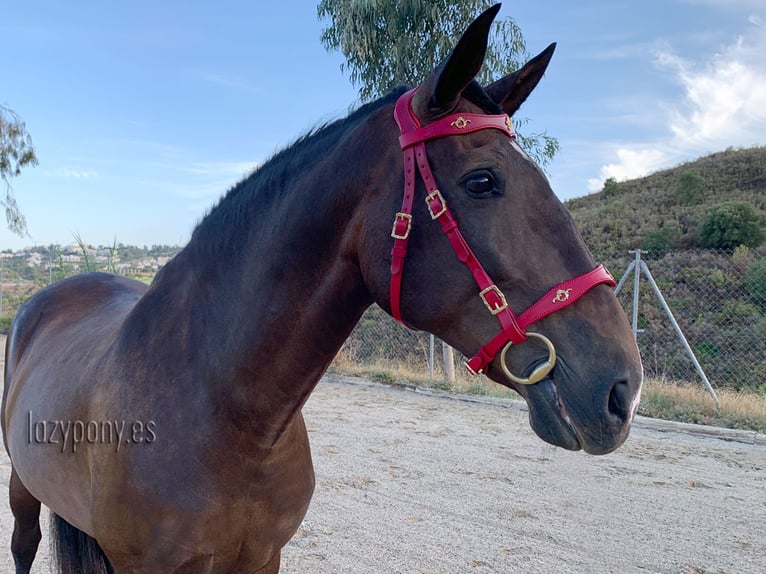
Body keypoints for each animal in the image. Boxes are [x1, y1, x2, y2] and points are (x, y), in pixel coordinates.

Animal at [2, 4, 642, 573]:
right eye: (482, 181)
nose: (623, 390)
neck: (220, 411)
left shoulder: (262, 560)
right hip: (22, 487)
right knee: (24, 544)